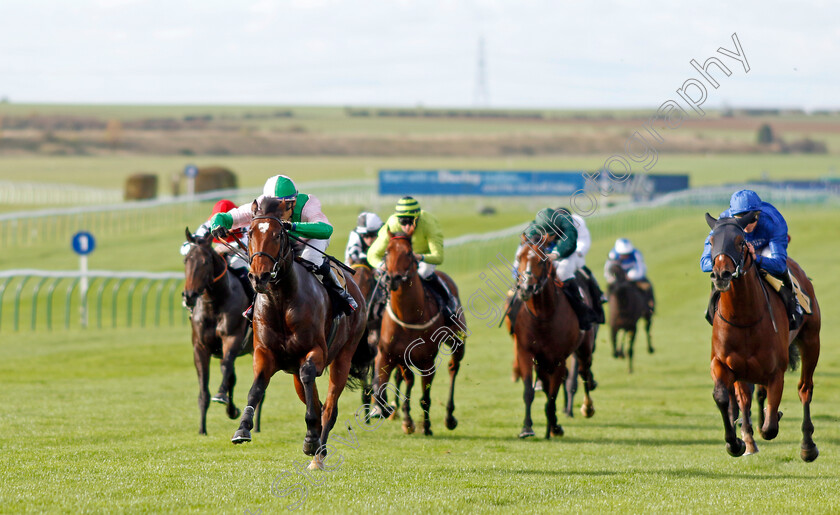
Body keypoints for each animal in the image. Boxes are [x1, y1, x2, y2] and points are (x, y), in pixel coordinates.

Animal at [184, 230, 260, 436]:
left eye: (204, 262)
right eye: (186, 260)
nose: (189, 296)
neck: (214, 304)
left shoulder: (232, 339)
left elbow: (226, 367)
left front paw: (221, 396)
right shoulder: (199, 348)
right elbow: (205, 387)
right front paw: (202, 429)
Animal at [231, 197, 372, 468]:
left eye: (277, 234)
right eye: (250, 233)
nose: (259, 276)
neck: (281, 301)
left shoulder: (316, 352)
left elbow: (310, 378)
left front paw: (310, 439)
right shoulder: (264, 352)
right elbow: (257, 386)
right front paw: (243, 427)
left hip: (343, 357)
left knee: (329, 407)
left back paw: (318, 453)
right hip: (295, 372)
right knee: (315, 400)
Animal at [374, 232, 466, 438]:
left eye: (409, 253)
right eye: (387, 252)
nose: (393, 278)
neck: (409, 316)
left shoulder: (427, 362)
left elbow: (425, 397)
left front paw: (426, 426)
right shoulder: (387, 355)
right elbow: (383, 387)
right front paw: (392, 413)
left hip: (458, 341)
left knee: (453, 368)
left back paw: (449, 417)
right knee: (408, 378)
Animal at [506, 242, 596, 440]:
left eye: (541, 261)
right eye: (519, 257)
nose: (525, 288)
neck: (543, 317)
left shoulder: (559, 358)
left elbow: (554, 394)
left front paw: (555, 427)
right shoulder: (526, 352)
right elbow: (529, 391)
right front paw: (527, 428)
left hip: (584, 348)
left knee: (584, 372)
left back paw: (587, 408)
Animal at [704, 212, 820, 462]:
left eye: (740, 242)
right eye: (711, 241)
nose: (721, 274)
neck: (745, 318)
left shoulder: (776, 371)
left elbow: (770, 428)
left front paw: (770, 417)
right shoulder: (723, 363)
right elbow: (723, 397)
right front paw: (735, 442)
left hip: (811, 341)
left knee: (804, 389)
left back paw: (807, 446)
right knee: (748, 396)